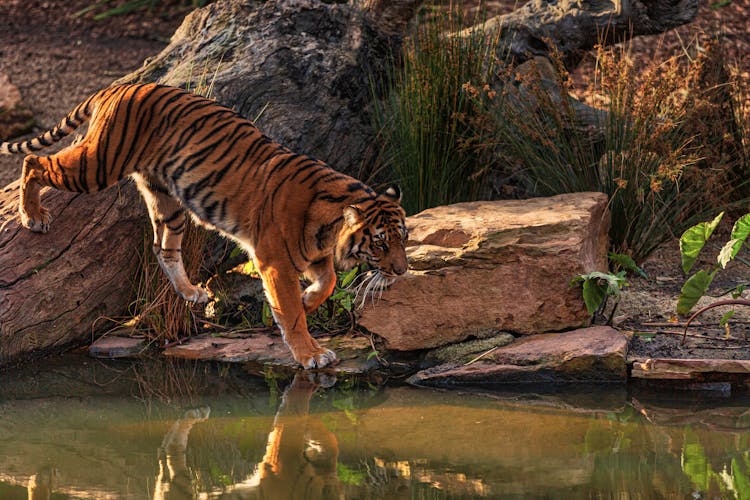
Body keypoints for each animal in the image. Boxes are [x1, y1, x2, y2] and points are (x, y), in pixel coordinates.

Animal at [1, 84, 412, 370]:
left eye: (403, 239)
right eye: (379, 243)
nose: (402, 272)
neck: (328, 227)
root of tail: (119, 86)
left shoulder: (311, 255)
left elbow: (328, 282)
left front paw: (310, 300)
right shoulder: (275, 261)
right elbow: (291, 313)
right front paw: (310, 353)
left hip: (167, 199)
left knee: (162, 248)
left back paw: (191, 293)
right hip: (97, 164)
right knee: (35, 162)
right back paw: (32, 215)